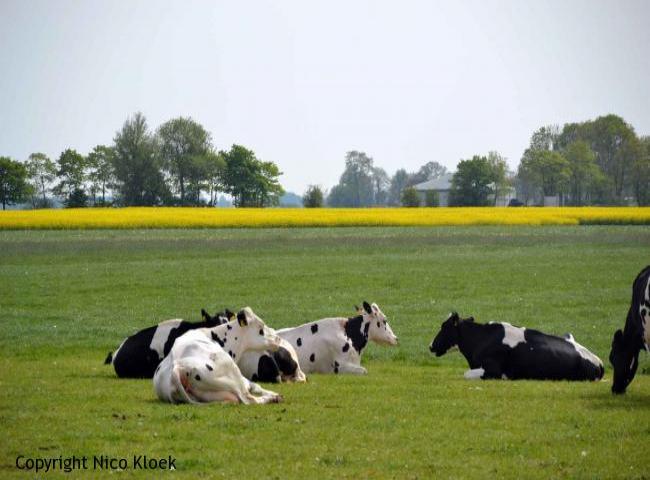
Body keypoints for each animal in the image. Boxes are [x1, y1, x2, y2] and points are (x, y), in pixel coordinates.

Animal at [154, 306, 284, 404]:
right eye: (261, 327)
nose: (278, 338)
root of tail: (177, 367)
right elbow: (254, 385)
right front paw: (273, 394)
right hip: (231, 371)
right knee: (248, 398)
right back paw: (272, 398)